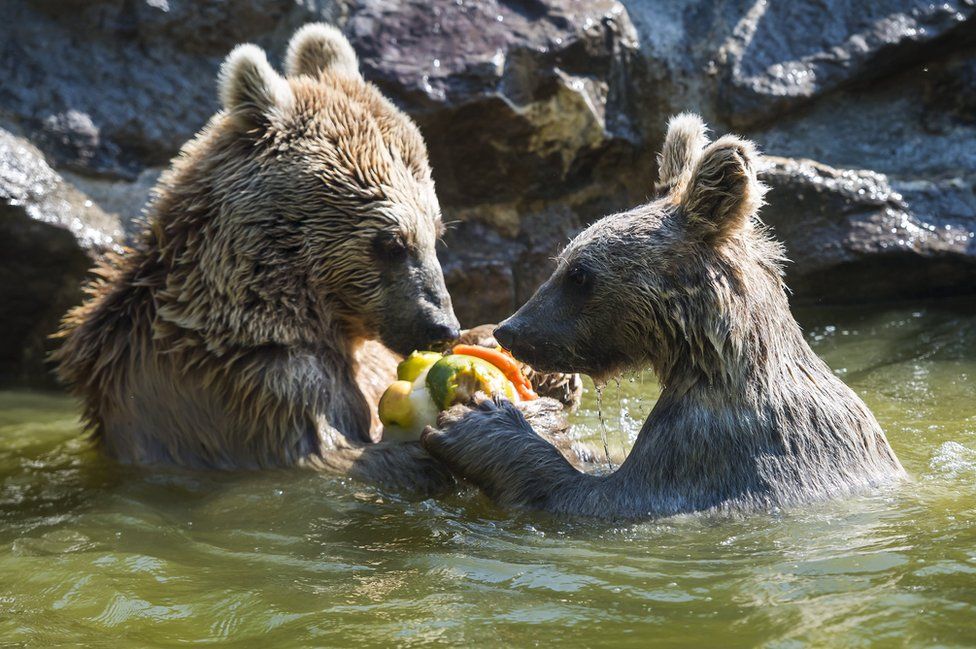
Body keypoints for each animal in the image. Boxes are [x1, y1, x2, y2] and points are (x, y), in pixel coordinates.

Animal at [422, 114, 908, 520]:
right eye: (561, 262)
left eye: (578, 274)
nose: (511, 329)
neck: (708, 357)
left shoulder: (710, 453)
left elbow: (598, 500)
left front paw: (482, 419)